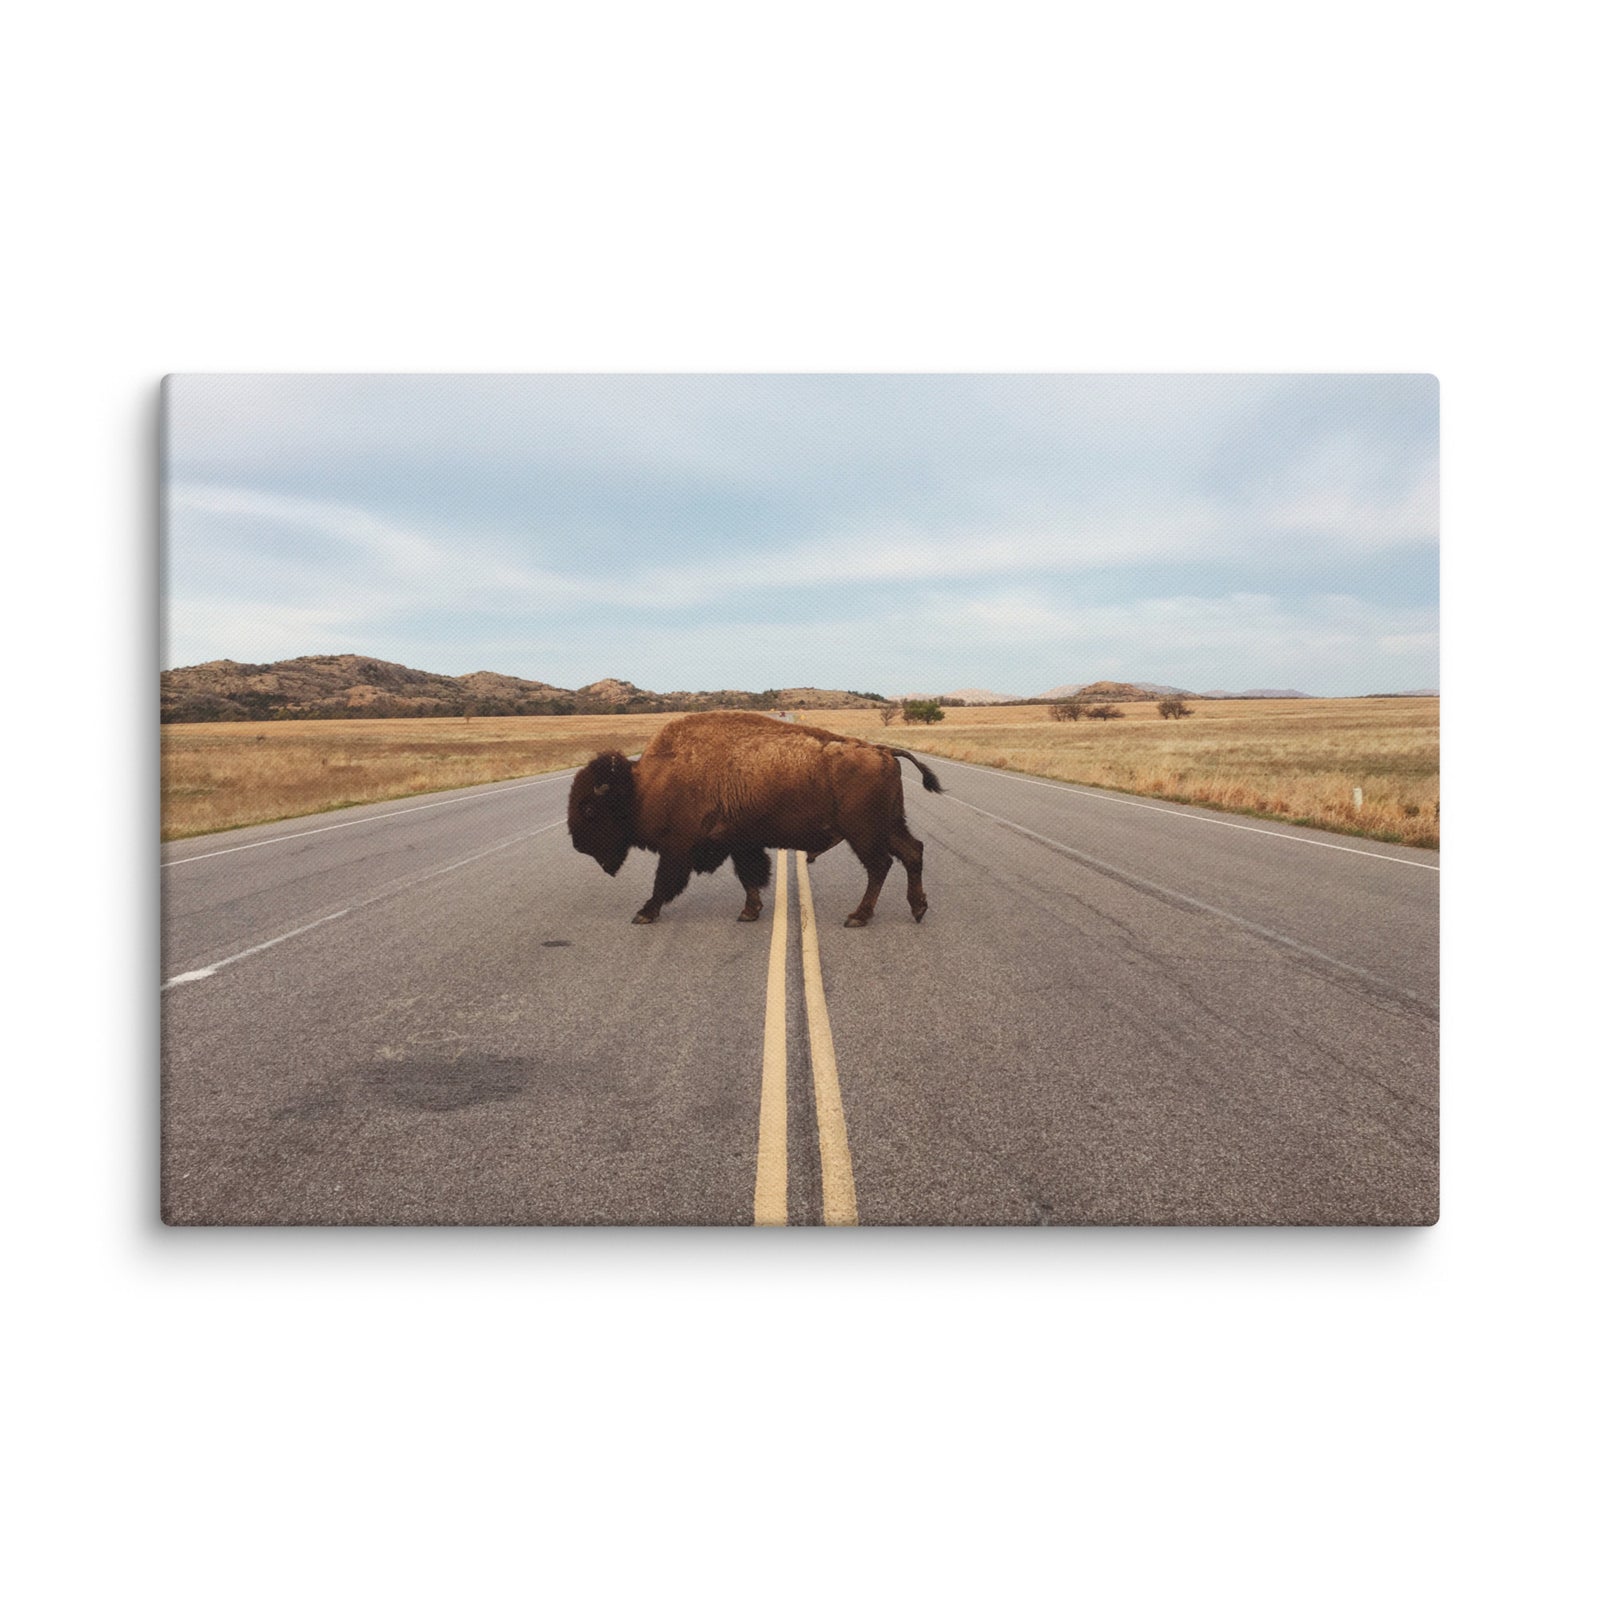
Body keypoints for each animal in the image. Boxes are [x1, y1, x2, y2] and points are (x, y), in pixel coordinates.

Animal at [567, 711, 942, 927]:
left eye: (589, 810)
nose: (578, 845)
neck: (645, 785)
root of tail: (882, 750)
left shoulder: (678, 848)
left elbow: (664, 883)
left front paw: (644, 913)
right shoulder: (739, 843)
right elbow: (749, 876)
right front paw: (750, 912)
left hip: (863, 833)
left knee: (880, 866)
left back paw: (858, 917)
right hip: (889, 826)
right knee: (912, 853)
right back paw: (918, 909)